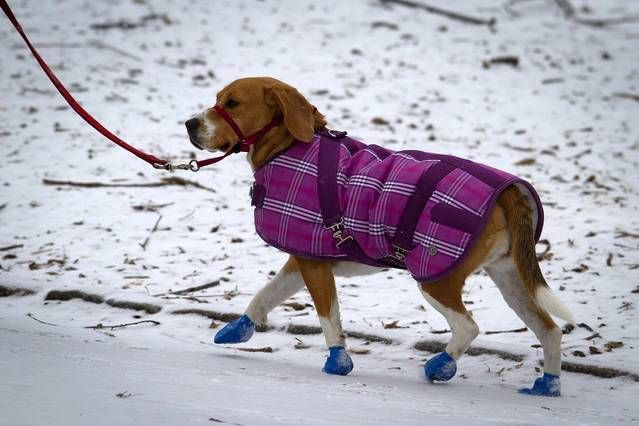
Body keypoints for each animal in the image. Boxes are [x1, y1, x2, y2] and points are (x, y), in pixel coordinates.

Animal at [185, 76, 576, 396]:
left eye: (232, 103)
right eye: (218, 99)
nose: (189, 123)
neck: (289, 147)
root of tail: (508, 189)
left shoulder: (315, 268)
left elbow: (330, 320)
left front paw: (338, 363)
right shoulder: (302, 261)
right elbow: (263, 297)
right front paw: (239, 329)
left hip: (436, 280)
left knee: (468, 328)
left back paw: (440, 366)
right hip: (511, 280)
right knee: (550, 330)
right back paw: (547, 385)